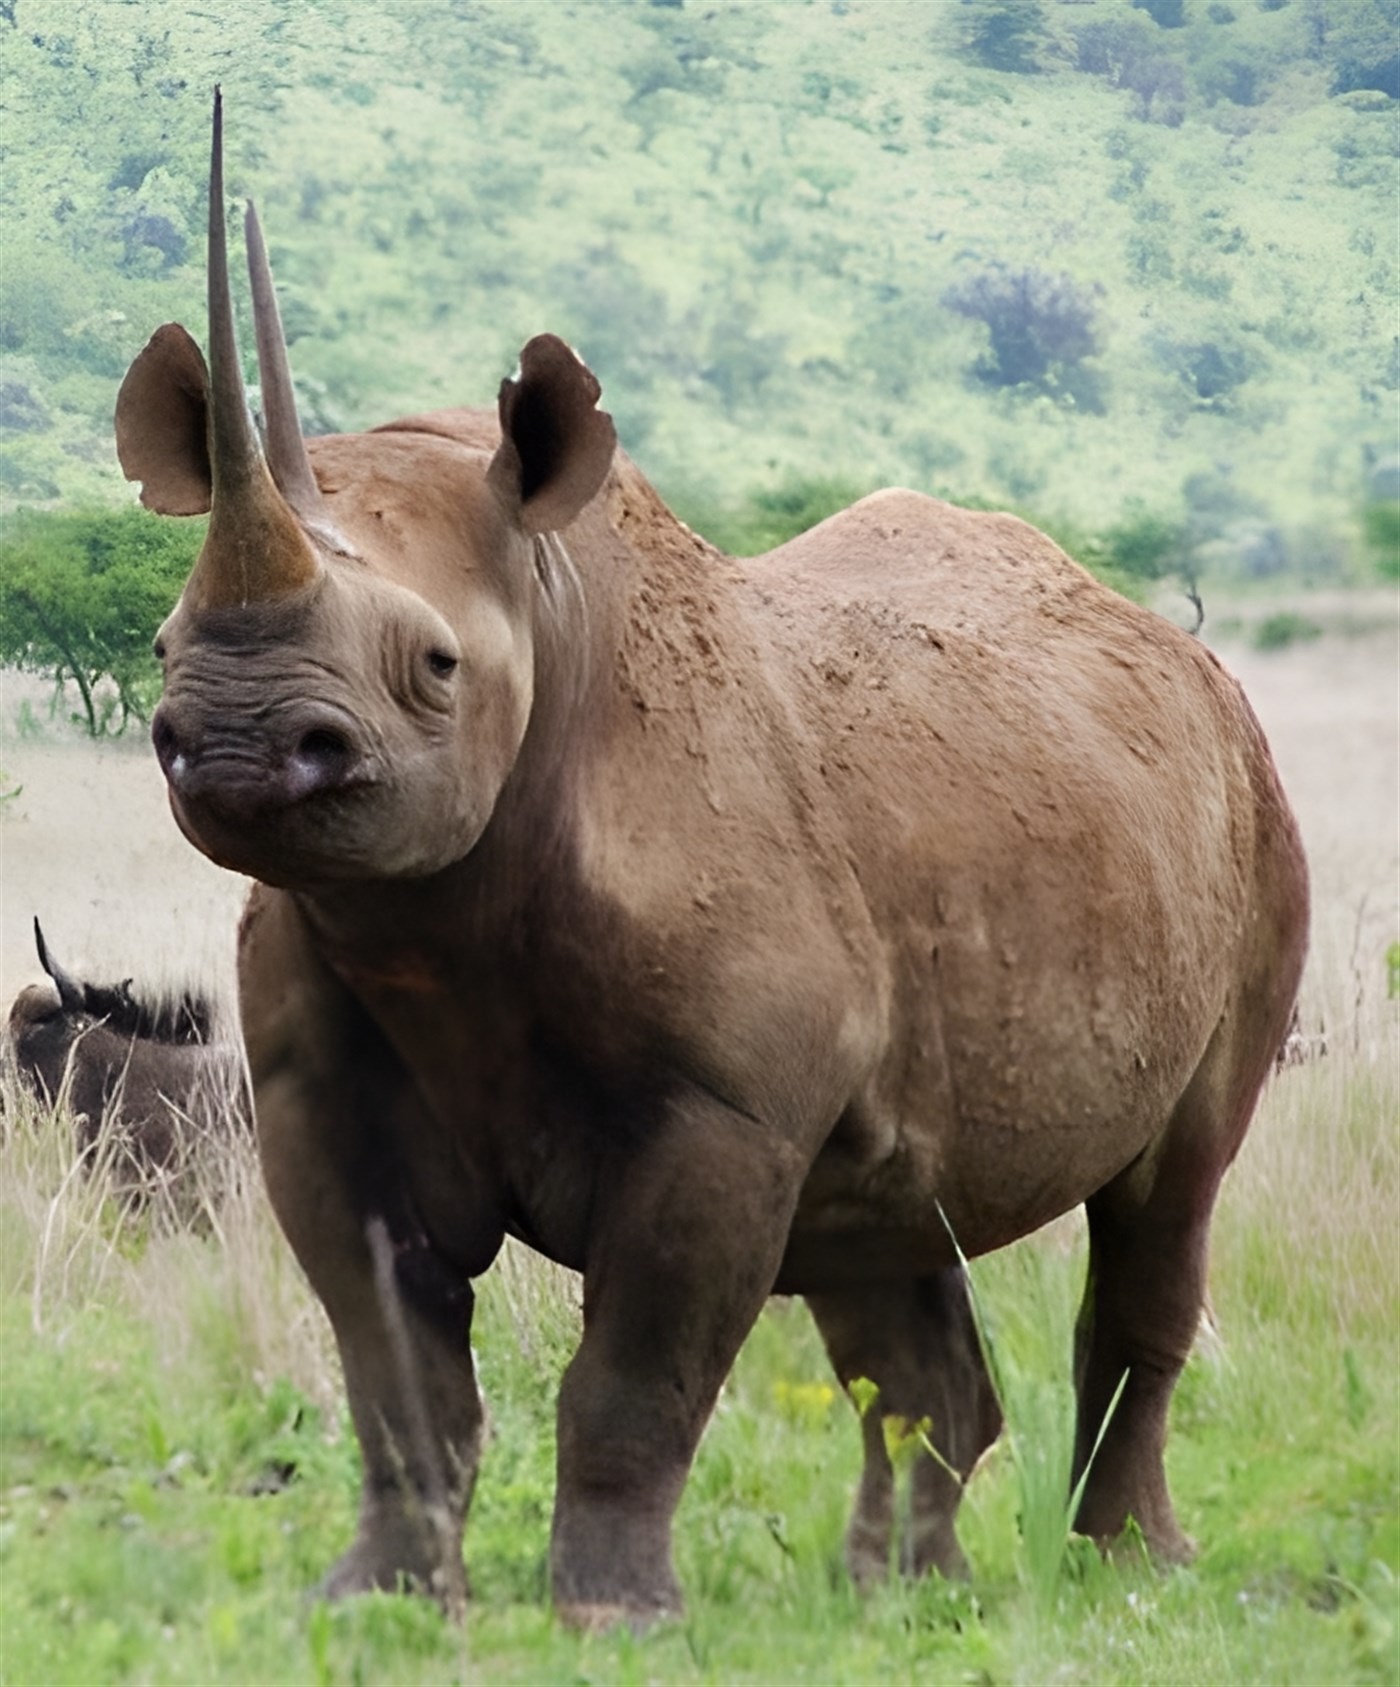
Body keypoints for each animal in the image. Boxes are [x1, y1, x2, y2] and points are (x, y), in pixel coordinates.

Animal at [113, 95, 1308, 1627]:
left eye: (435, 666)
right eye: (162, 641)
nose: (244, 742)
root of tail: (1179, 654)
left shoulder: (720, 1110)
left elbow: (636, 1373)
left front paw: (614, 1617)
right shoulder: (323, 1087)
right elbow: (395, 1373)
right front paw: (375, 1600)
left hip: (1254, 815)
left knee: (1169, 1194)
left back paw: (1131, 1578)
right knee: (889, 1242)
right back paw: (897, 1600)